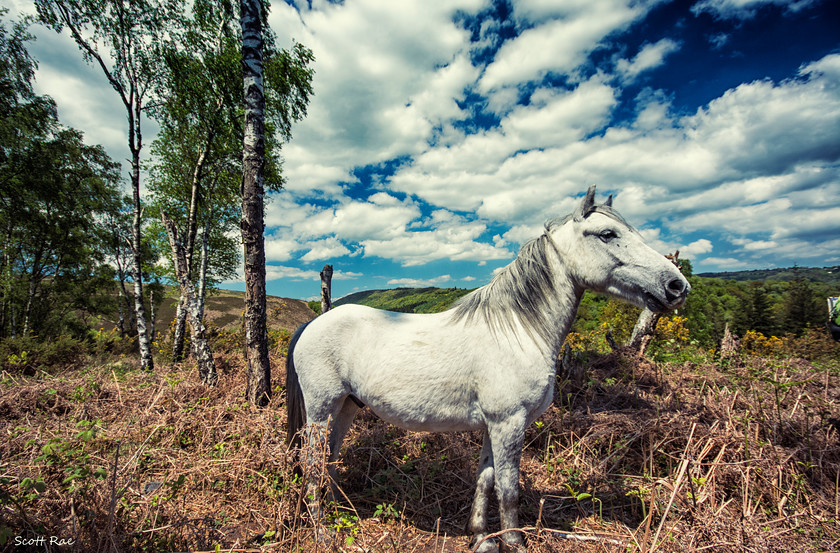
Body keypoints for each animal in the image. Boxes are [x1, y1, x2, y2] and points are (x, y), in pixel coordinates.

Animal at [286, 188, 692, 548]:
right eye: (608, 234)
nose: (678, 285)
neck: (519, 330)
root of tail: (313, 324)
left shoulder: (493, 427)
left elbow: (485, 479)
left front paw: (480, 535)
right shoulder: (509, 423)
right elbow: (509, 489)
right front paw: (513, 540)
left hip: (347, 407)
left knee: (329, 457)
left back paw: (341, 513)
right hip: (321, 408)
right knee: (312, 460)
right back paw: (322, 531)